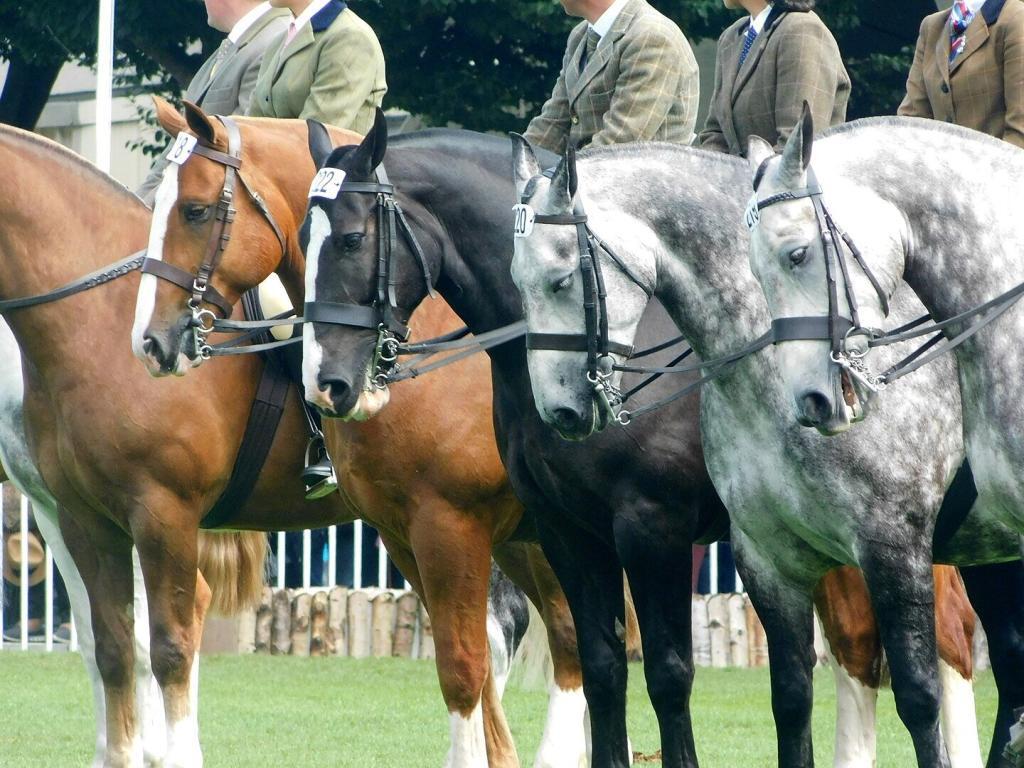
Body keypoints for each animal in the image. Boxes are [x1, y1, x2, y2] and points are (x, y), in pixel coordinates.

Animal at [0, 121, 581, 768]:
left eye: (197, 209)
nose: (151, 343)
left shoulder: (161, 512)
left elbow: (168, 647)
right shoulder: (75, 516)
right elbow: (110, 647)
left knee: (558, 634)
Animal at [509, 138, 1024, 768]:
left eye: (560, 281)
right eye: (517, 280)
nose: (560, 412)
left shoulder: (890, 549)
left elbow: (917, 695)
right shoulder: (765, 560)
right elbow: (790, 698)